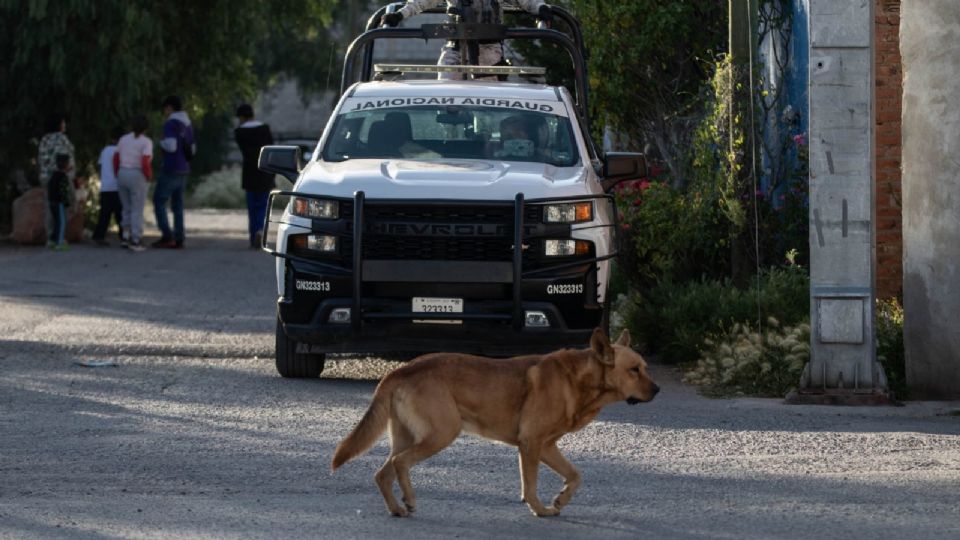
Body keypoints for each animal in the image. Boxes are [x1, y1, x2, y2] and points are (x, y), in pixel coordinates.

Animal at [332, 326, 660, 516]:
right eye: (634, 370)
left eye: (646, 367)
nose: (657, 390)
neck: (579, 380)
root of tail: (400, 370)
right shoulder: (531, 445)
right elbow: (530, 485)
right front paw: (540, 509)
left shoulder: (546, 446)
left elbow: (575, 475)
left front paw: (561, 500)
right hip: (441, 433)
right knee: (401, 463)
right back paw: (410, 501)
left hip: (408, 437)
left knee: (382, 473)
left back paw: (397, 509)